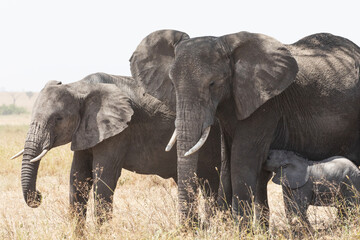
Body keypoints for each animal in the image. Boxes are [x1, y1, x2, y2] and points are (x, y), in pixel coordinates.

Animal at [13, 72, 225, 225]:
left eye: (58, 119)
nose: (39, 196)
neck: (80, 87)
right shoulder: (85, 131)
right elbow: (78, 178)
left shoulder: (117, 132)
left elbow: (104, 177)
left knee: (212, 182)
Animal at [131, 29, 360, 223]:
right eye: (172, 83)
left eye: (213, 84)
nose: (191, 227)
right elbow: (227, 163)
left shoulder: (266, 106)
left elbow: (242, 162)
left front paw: (239, 230)